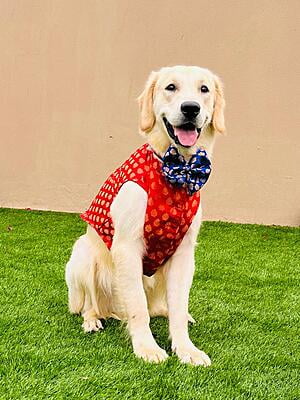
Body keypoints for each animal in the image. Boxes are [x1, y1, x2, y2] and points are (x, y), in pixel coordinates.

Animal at [65, 65, 225, 366]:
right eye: (171, 87)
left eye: (204, 89)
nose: (190, 108)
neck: (177, 172)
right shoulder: (127, 247)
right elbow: (137, 306)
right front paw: (147, 348)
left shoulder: (184, 252)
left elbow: (178, 306)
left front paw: (186, 349)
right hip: (83, 254)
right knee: (90, 305)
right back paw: (92, 320)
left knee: (163, 307)